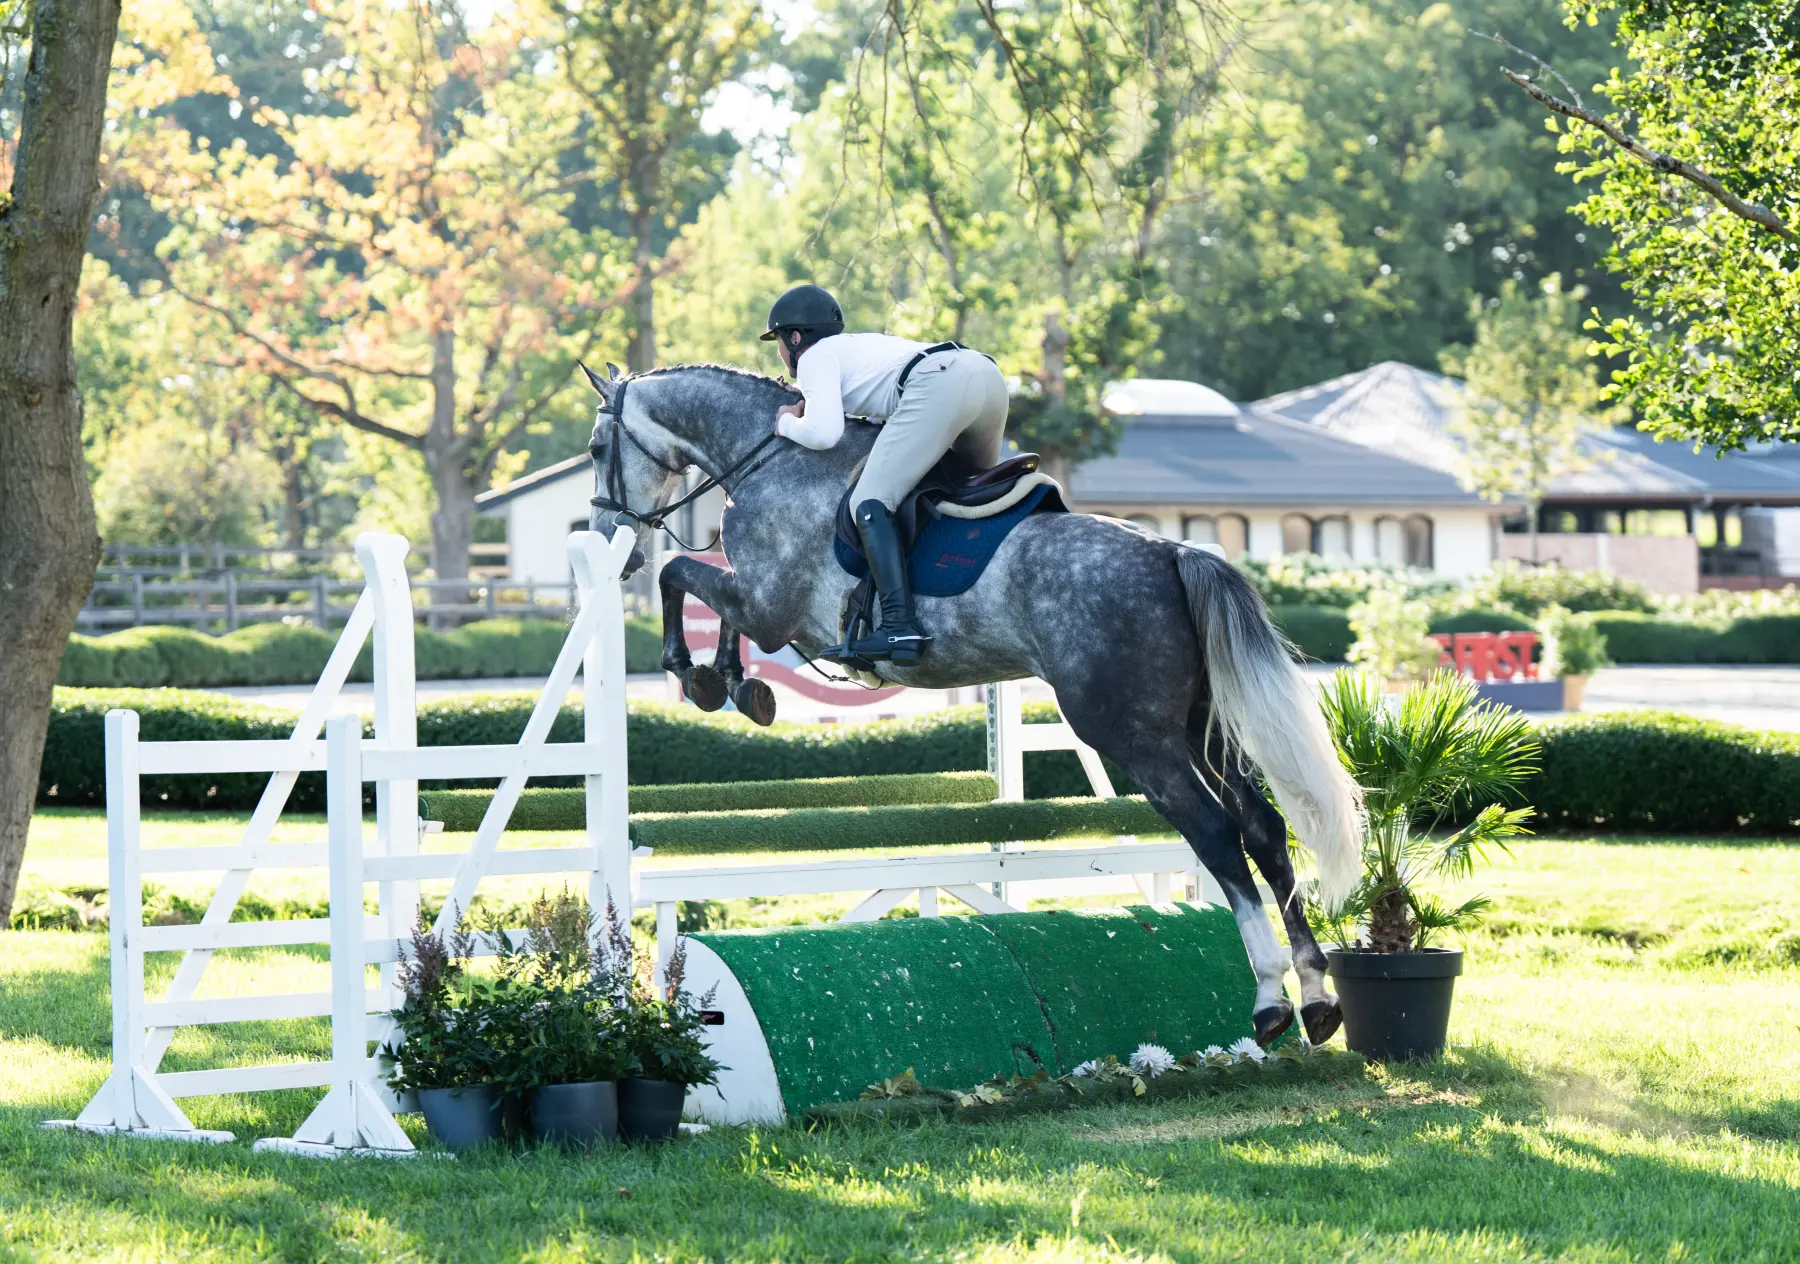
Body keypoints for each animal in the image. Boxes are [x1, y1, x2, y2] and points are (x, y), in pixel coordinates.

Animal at [581, 360, 1363, 1047]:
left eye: (595, 448)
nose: (610, 543)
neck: (769, 457)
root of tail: (1175, 552)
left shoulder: (771, 607)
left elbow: (682, 573)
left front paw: (694, 671)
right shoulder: (761, 604)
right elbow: (709, 597)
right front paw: (734, 683)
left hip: (1134, 735)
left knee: (1215, 834)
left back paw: (1269, 1002)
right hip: (1202, 729)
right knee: (1263, 827)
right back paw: (1317, 999)